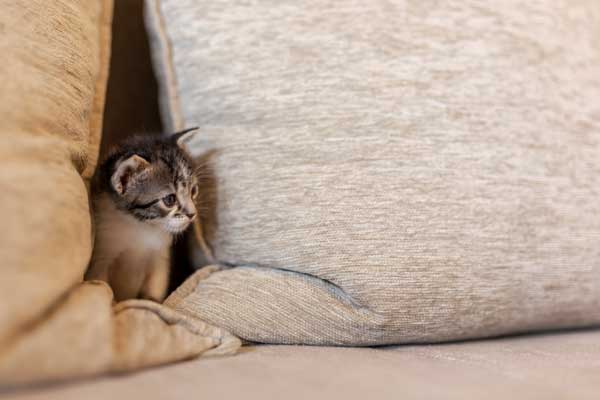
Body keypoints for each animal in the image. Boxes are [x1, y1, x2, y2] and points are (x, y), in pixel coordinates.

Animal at [84, 130, 199, 302]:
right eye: (170, 199)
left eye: (193, 191)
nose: (192, 214)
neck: (140, 225)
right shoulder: (101, 258)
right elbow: (103, 286)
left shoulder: (160, 259)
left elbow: (154, 290)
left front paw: (153, 301)